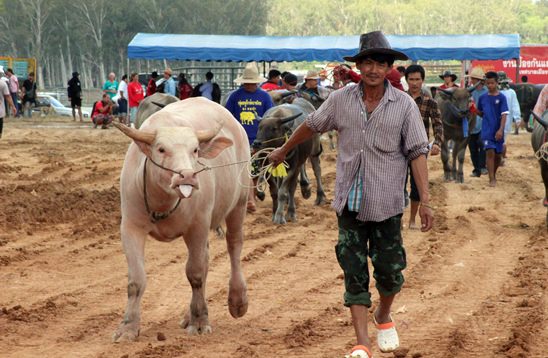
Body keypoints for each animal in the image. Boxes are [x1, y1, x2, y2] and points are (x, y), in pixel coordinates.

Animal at [113, 97, 250, 342]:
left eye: (195, 150)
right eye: (161, 149)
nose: (187, 176)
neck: (163, 200)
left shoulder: (197, 227)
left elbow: (194, 273)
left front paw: (199, 321)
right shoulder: (130, 227)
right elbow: (136, 280)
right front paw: (128, 327)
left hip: (239, 203)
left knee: (234, 246)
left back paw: (237, 300)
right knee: (207, 260)